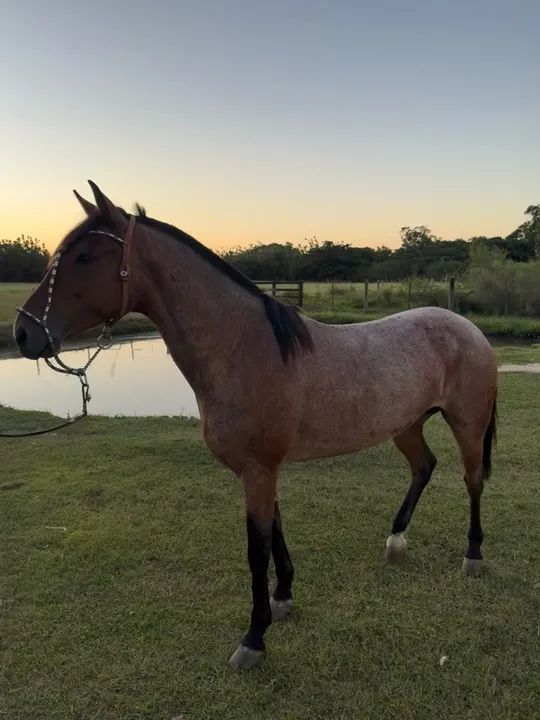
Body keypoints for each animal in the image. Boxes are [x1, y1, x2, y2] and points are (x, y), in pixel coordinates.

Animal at [14, 182, 498, 670]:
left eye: (85, 257)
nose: (23, 333)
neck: (247, 350)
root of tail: (468, 327)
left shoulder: (258, 470)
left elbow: (256, 549)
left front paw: (254, 637)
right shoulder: (263, 471)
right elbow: (275, 532)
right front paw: (283, 599)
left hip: (467, 425)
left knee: (473, 480)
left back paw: (473, 556)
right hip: (407, 425)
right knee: (423, 467)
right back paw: (396, 540)